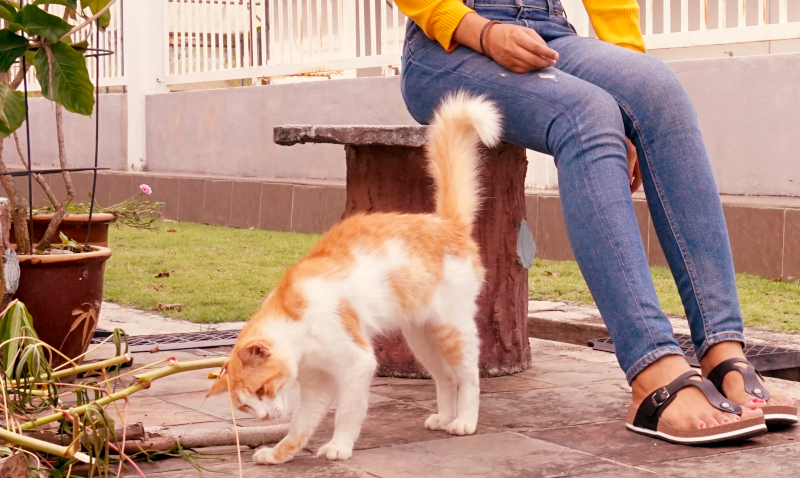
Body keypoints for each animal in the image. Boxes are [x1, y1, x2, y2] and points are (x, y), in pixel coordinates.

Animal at [209, 93, 504, 464]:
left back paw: (464, 420)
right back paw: (445, 417)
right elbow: (300, 426)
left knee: (468, 374)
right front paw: (278, 454)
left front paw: (339, 446)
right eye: (246, 407)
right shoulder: (317, 383)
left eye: (261, 390)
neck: (296, 323)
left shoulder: (357, 364)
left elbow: (347, 413)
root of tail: (446, 223)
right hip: (421, 339)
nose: (262, 417)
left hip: (451, 330)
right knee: (446, 377)